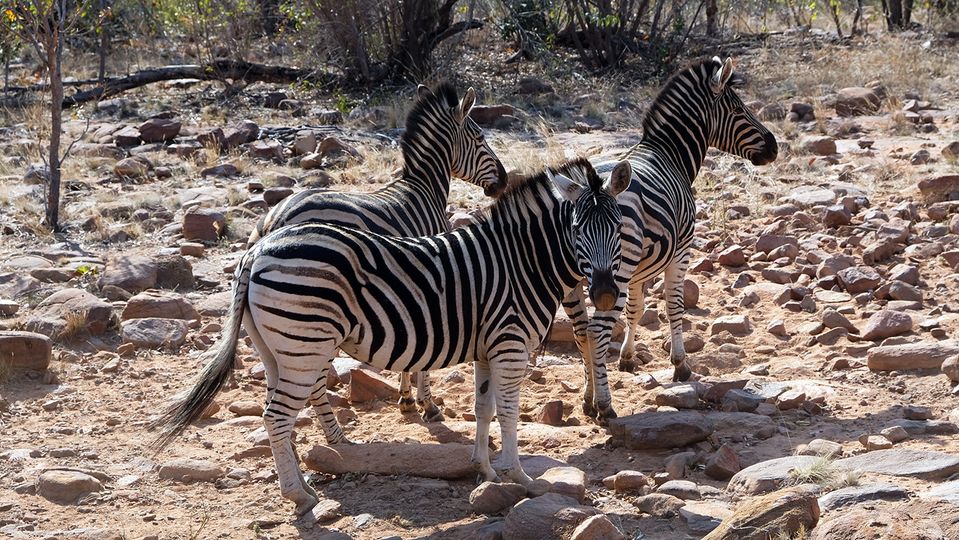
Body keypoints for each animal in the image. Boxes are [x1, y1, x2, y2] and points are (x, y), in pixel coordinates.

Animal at [152, 156, 636, 516]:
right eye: (577, 230)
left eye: (617, 229)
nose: (606, 295)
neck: (521, 262)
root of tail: (256, 251)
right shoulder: (510, 344)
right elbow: (509, 414)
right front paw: (520, 476)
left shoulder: (487, 347)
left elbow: (482, 410)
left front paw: (484, 470)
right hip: (304, 347)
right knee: (276, 417)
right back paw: (299, 495)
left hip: (276, 350)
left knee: (281, 417)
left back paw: (303, 483)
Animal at [246, 81, 510, 434]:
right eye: (480, 138)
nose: (504, 182)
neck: (424, 189)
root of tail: (274, 220)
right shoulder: (431, 275)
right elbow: (424, 350)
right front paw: (425, 405)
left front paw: (407, 401)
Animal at [564, 58, 780, 422]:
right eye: (739, 109)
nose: (774, 147)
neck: (670, 153)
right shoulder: (682, 250)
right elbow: (674, 305)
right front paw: (680, 365)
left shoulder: (637, 271)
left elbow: (636, 309)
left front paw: (627, 357)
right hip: (613, 271)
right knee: (595, 330)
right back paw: (605, 405)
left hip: (576, 278)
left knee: (581, 331)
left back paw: (587, 398)